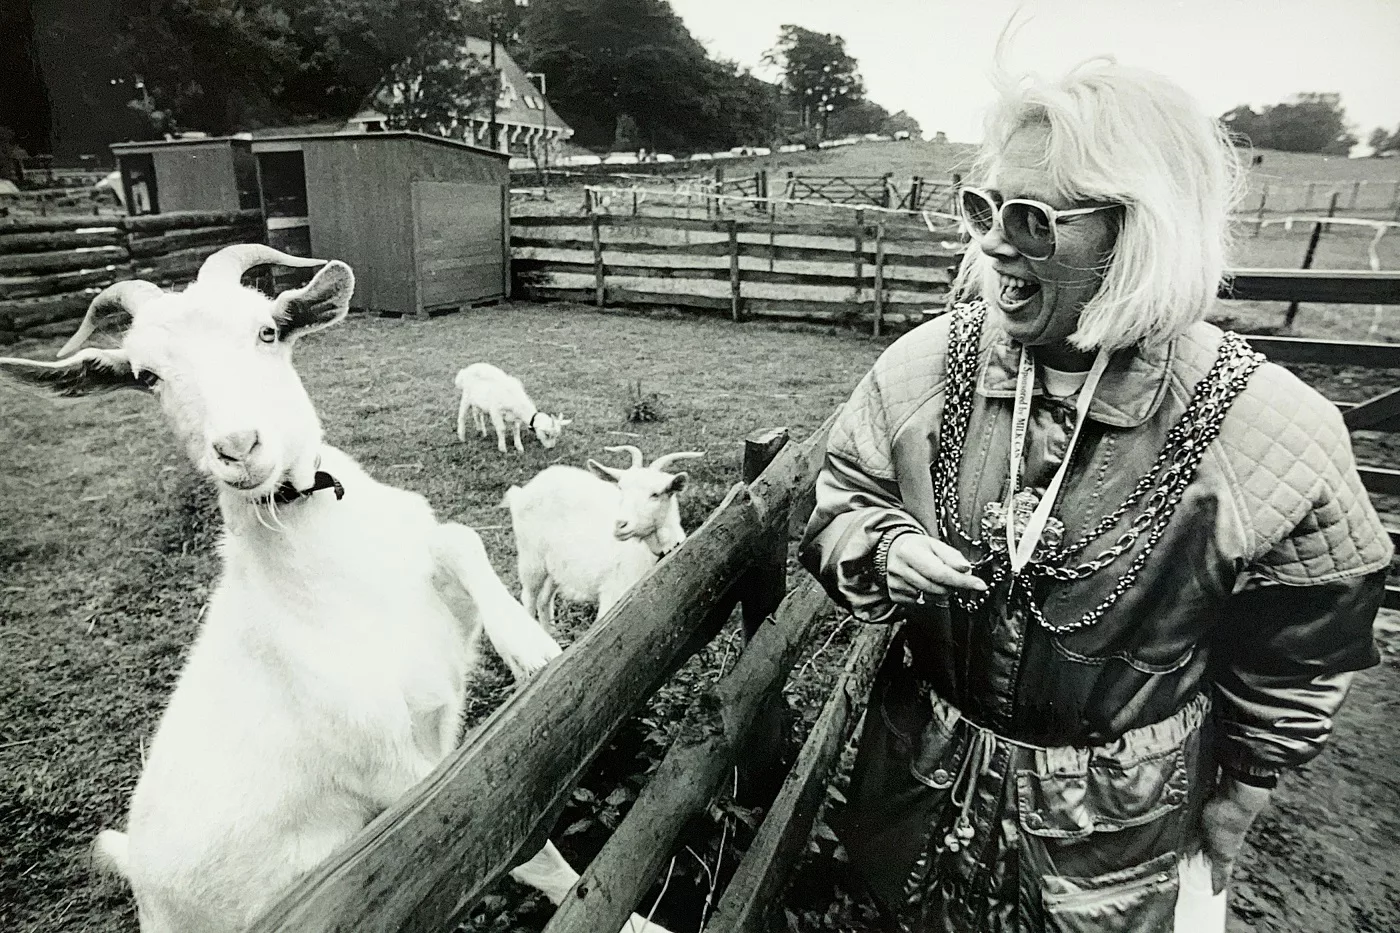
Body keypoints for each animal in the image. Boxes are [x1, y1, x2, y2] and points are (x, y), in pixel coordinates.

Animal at [0, 245, 669, 930]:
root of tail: (137, 869)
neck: (334, 564)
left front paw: (530, 646)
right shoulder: (389, 771)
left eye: (268, 332)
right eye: (146, 375)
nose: (238, 447)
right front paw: (634, 919)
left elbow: (459, 539)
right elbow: (528, 851)